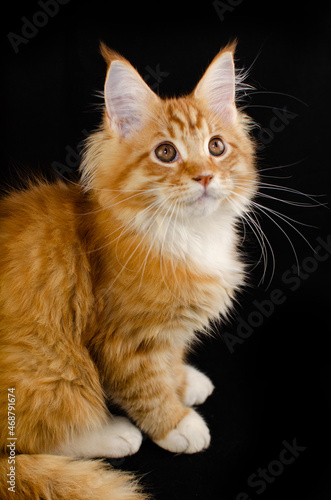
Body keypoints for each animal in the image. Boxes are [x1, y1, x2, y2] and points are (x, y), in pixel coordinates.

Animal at [0, 41, 256, 498]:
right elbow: (146, 387)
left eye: (216, 147)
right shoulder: (122, 339)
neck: (187, 234)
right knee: (32, 435)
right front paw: (176, 423)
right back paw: (112, 433)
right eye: (166, 153)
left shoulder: (165, 330)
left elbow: (169, 358)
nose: (205, 176)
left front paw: (183, 381)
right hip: (47, 363)